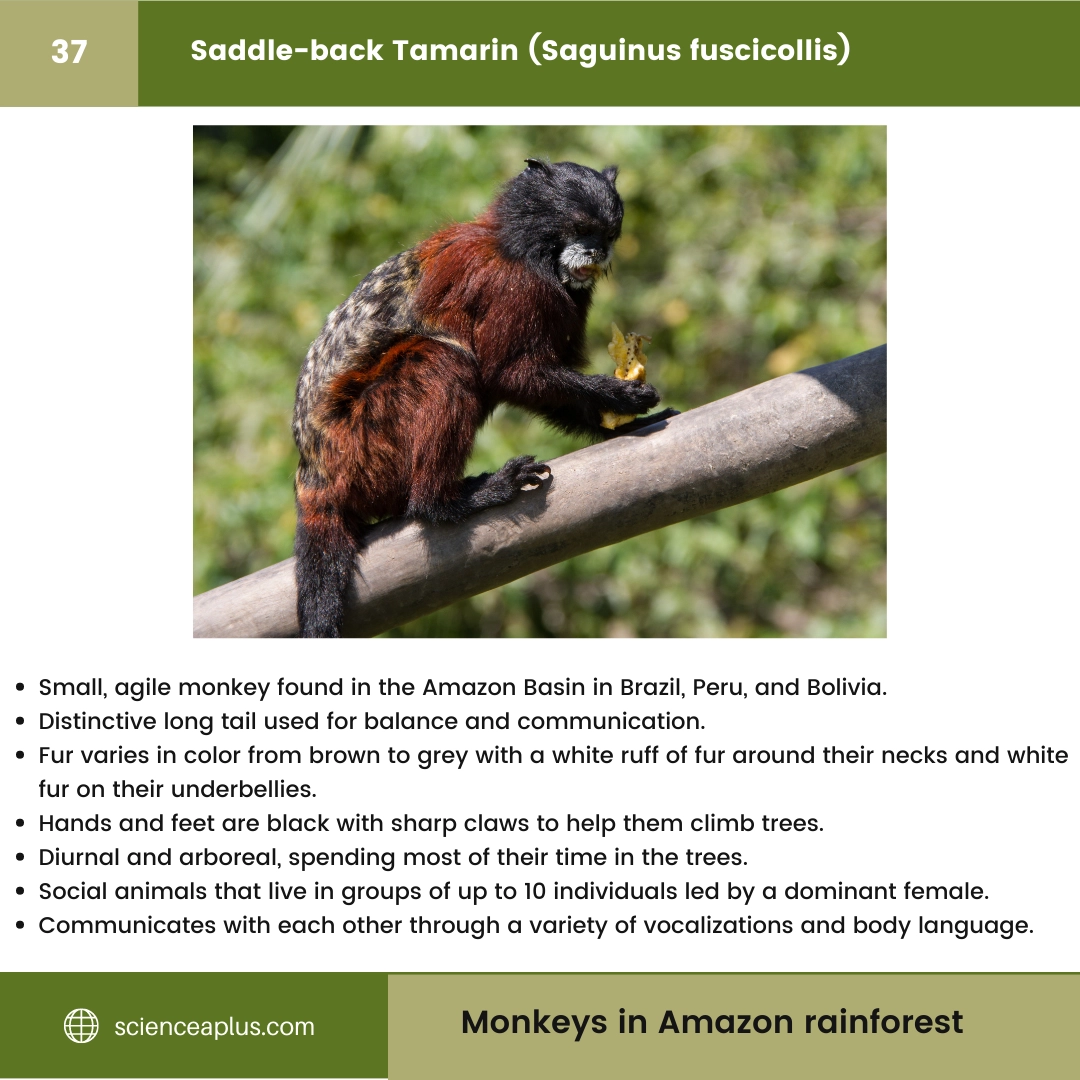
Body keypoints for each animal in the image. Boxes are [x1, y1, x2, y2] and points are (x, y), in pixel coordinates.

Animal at [292, 158, 676, 637]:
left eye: (607, 235)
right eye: (581, 229)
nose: (595, 253)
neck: (523, 250)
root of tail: (315, 473)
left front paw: (620, 418)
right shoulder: (508, 285)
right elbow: (509, 373)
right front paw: (620, 397)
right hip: (363, 446)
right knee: (444, 361)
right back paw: (446, 502)